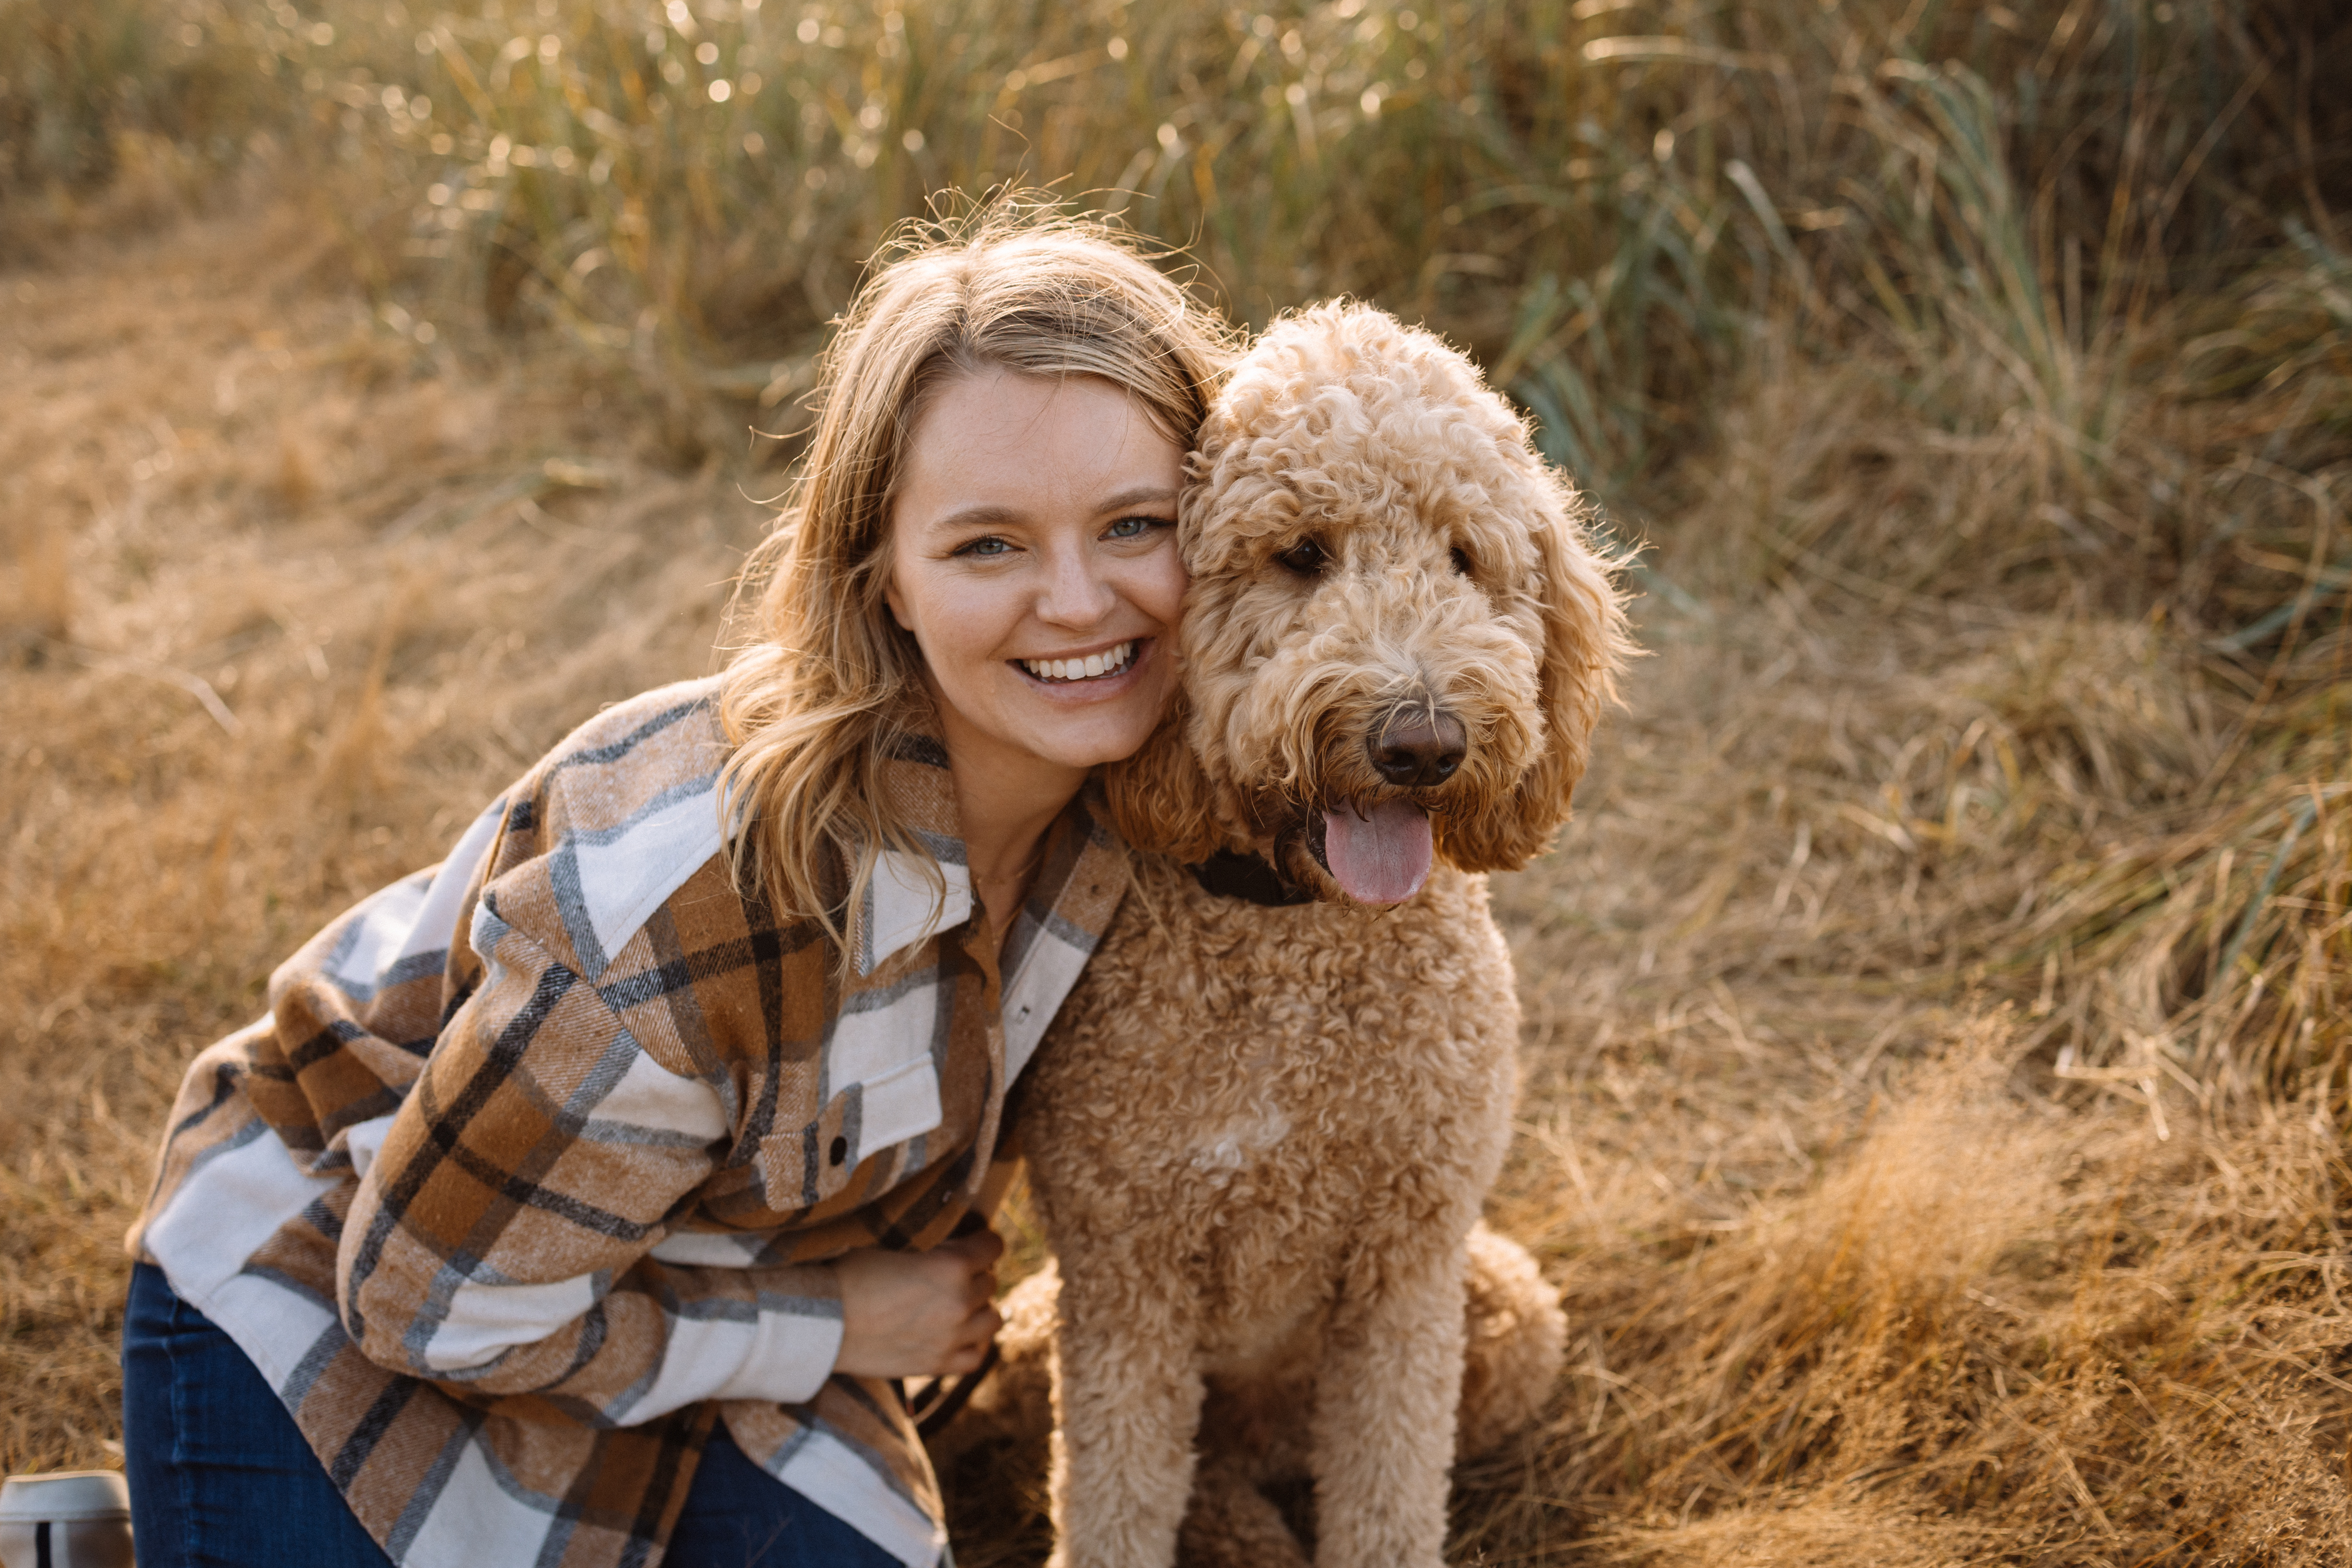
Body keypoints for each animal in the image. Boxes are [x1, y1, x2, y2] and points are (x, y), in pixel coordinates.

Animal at [964, 303, 1628, 1568]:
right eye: (1303, 555)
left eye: (1464, 559)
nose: (1422, 742)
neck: (1294, 934)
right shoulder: (1124, 1280)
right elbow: (1116, 1504)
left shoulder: (1408, 1269)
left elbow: (1390, 1498)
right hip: (1032, 1338)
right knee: (1198, 1474)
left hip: (1509, 1310)